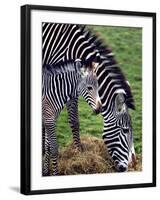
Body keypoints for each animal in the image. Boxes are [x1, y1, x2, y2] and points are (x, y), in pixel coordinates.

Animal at [42, 22, 136, 172]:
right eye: (125, 130)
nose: (132, 165)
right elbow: (73, 119)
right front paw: (78, 153)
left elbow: (73, 121)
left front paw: (78, 151)